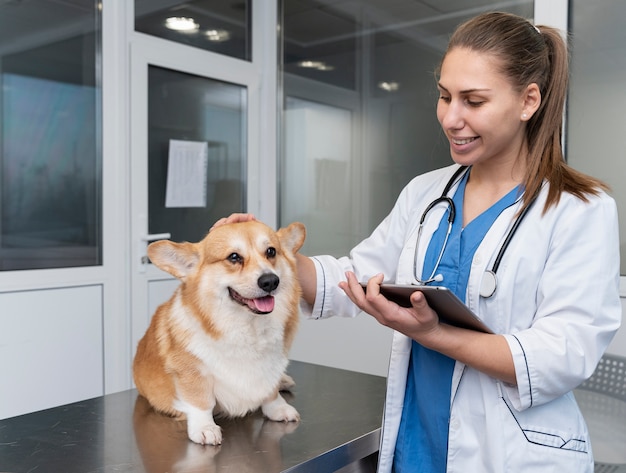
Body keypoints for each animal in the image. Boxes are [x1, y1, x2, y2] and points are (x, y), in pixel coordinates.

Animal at [133, 219, 304, 444]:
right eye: (234, 257)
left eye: (271, 251)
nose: (270, 281)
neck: (247, 326)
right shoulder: (192, 371)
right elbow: (201, 401)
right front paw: (204, 427)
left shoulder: (271, 365)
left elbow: (271, 389)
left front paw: (278, 408)